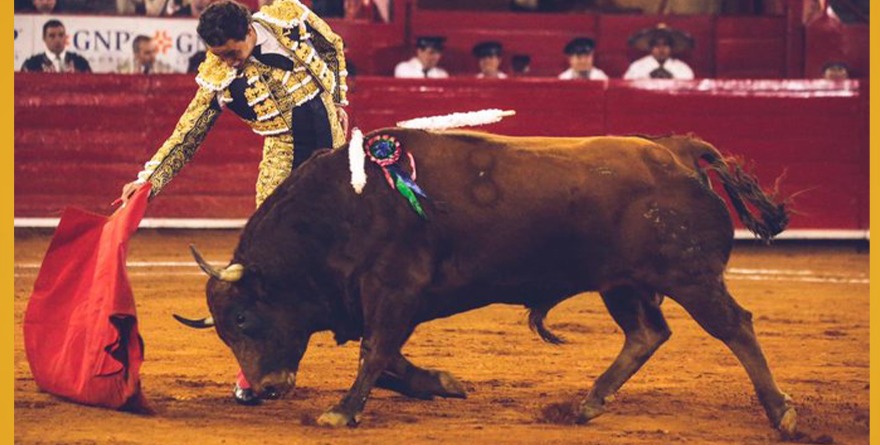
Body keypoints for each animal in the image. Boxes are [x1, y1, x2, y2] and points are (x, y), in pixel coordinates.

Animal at [179, 130, 796, 436]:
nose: (262, 388)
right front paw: (441, 383)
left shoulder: (394, 288)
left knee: (735, 328)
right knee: (647, 334)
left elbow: (375, 352)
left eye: (242, 318)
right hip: (621, 283)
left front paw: (342, 411)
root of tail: (678, 152)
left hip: (690, 276)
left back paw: (782, 413)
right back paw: (587, 405)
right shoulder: (379, 299)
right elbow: (386, 355)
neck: (344, 207)